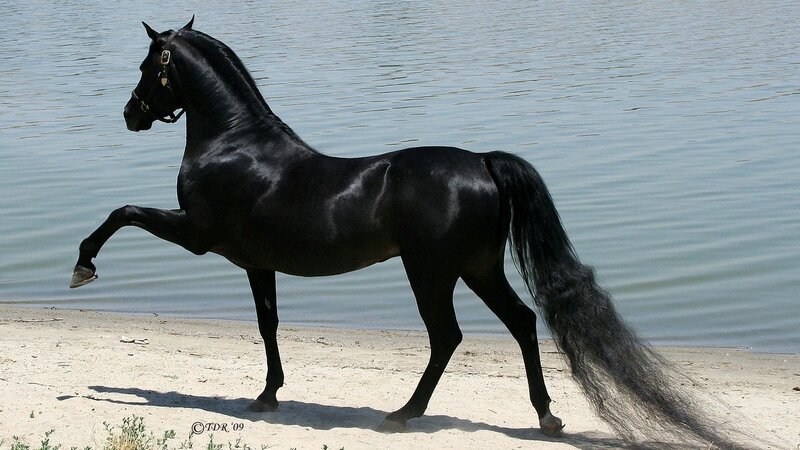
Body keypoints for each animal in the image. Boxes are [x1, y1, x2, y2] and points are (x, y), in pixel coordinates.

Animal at [71, 18, 755, 448]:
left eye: (147, 64)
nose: (131, 114)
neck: (236, 143)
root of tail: (482, 162)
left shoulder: (198, 234)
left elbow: (122, 212)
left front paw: (83, 266)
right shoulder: (256, 262)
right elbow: (269, 325)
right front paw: (267, 395)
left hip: (431, 272)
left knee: (448, 336)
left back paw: (404, 415)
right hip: (477, 268)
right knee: (521, 323)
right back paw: (546, 418)